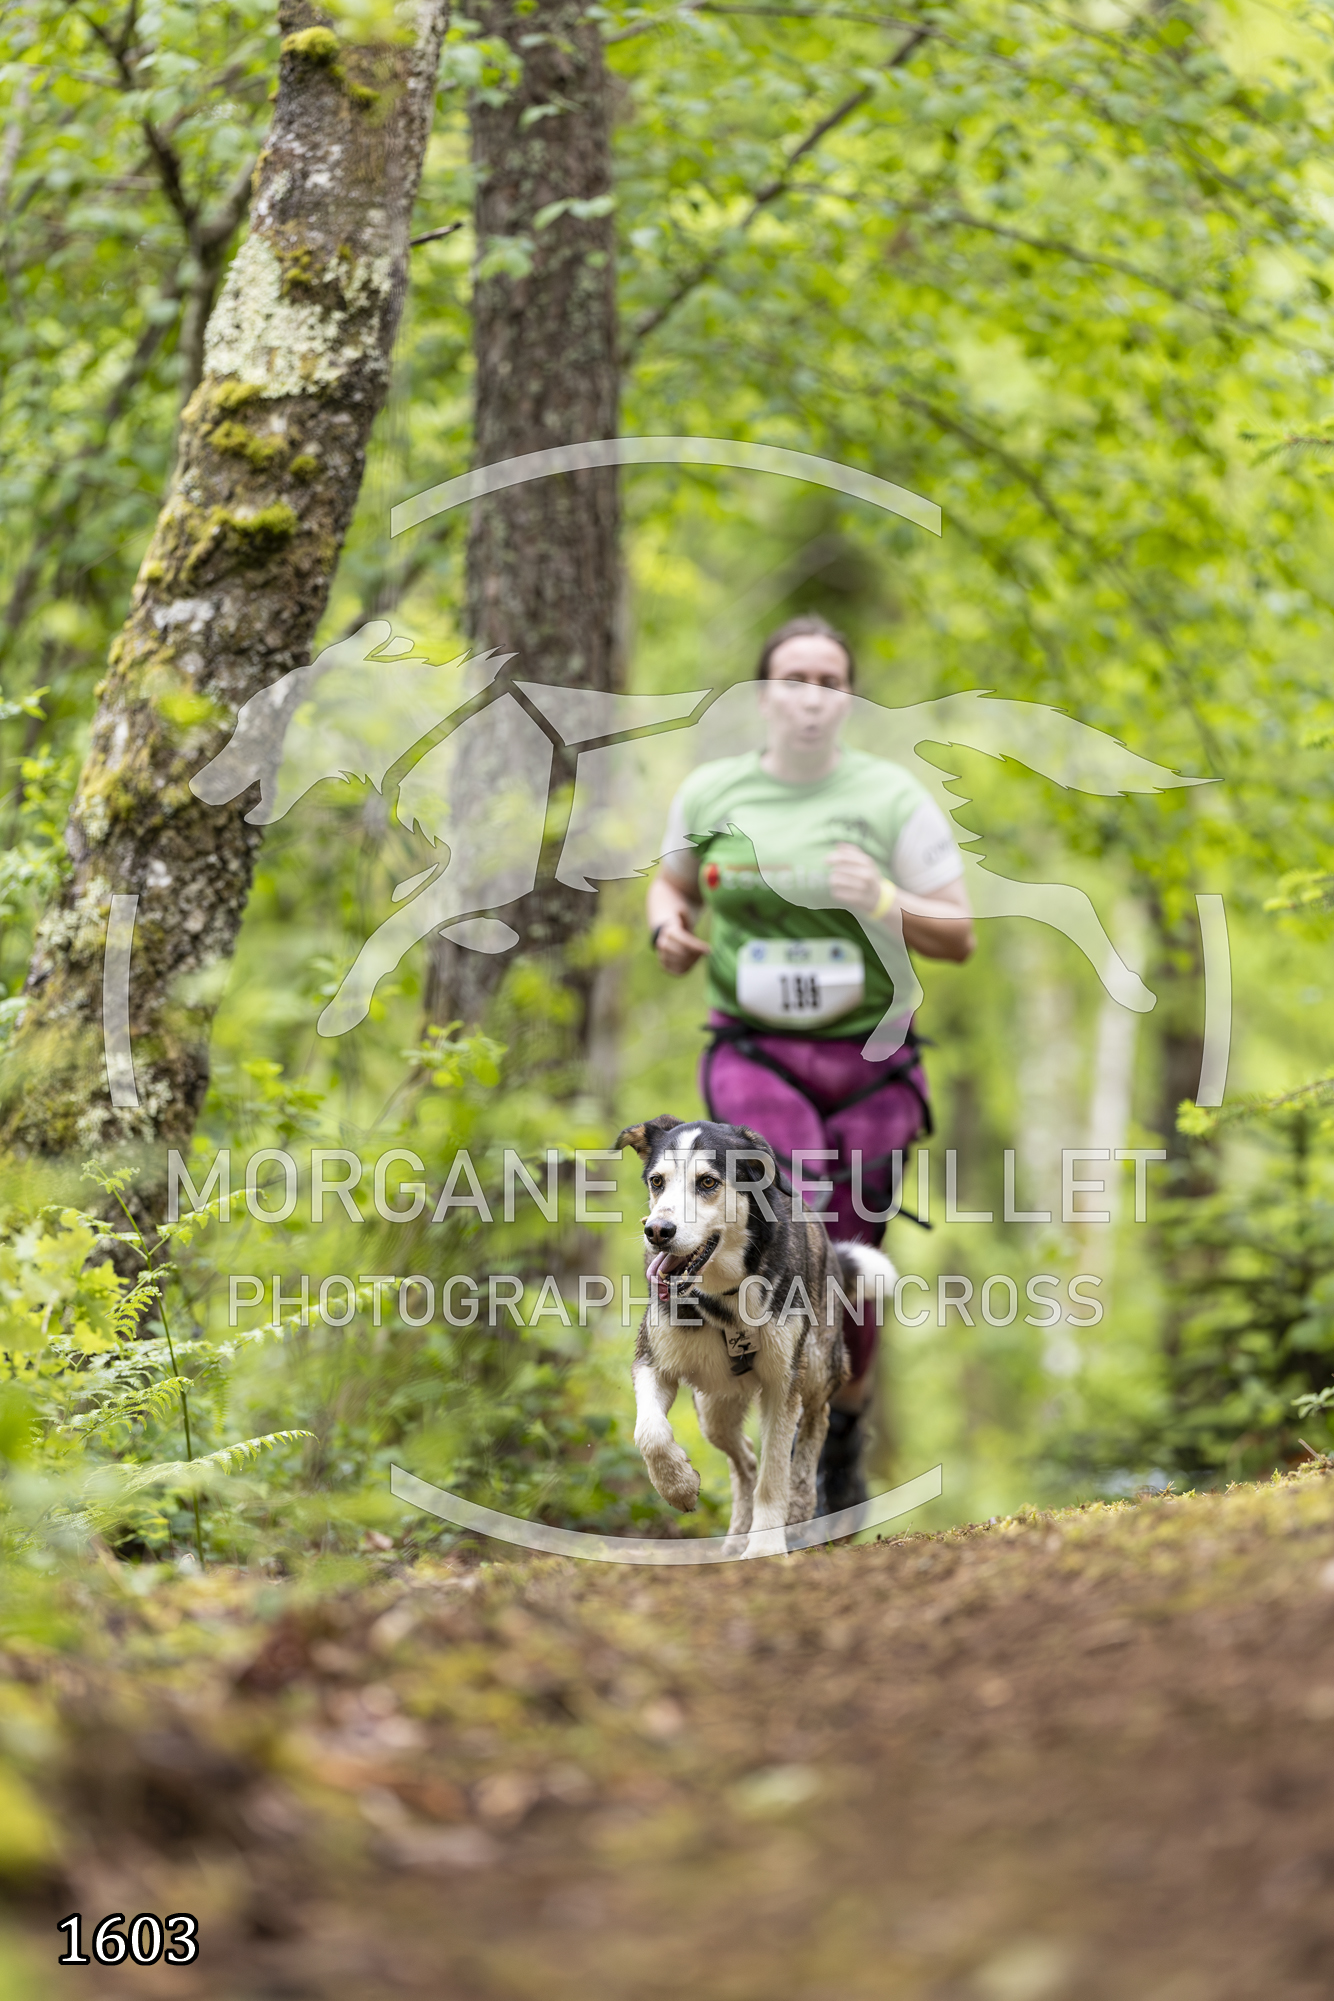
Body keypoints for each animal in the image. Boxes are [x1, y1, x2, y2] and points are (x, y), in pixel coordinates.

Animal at [616, 1114, 897, 1548]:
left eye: (708, 1182)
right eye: (657, 1181)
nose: (658, 1231)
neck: (724, 1296)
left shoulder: (783, 1384)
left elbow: (774, 1472)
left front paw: (765, 1545)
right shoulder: (652, 1361)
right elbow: (650, 1433)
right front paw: (679, 1486)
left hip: (816, 1366)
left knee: (816, 1424)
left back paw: (799, 1508)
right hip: (713, 1406)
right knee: (744, 1457)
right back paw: (735, 1537)